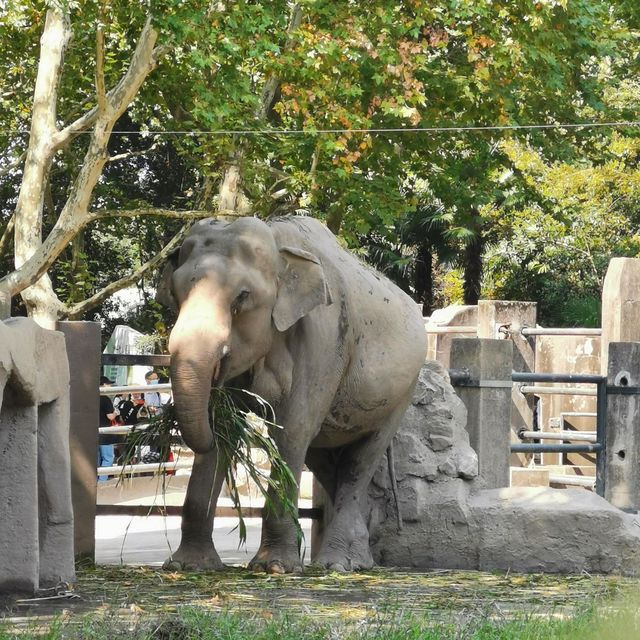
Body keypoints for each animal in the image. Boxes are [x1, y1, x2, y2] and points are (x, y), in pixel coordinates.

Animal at [159, 215, 430, 576]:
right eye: (175, 294)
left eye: (241, 297)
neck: (278, 244)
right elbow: (223, 428)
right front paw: (188, 565)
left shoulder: (324, 340)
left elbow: (292, 431)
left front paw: (274, 567)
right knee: (327, 462)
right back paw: (358, 559)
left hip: (402, 393)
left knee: (361, 460)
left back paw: (337, 564)